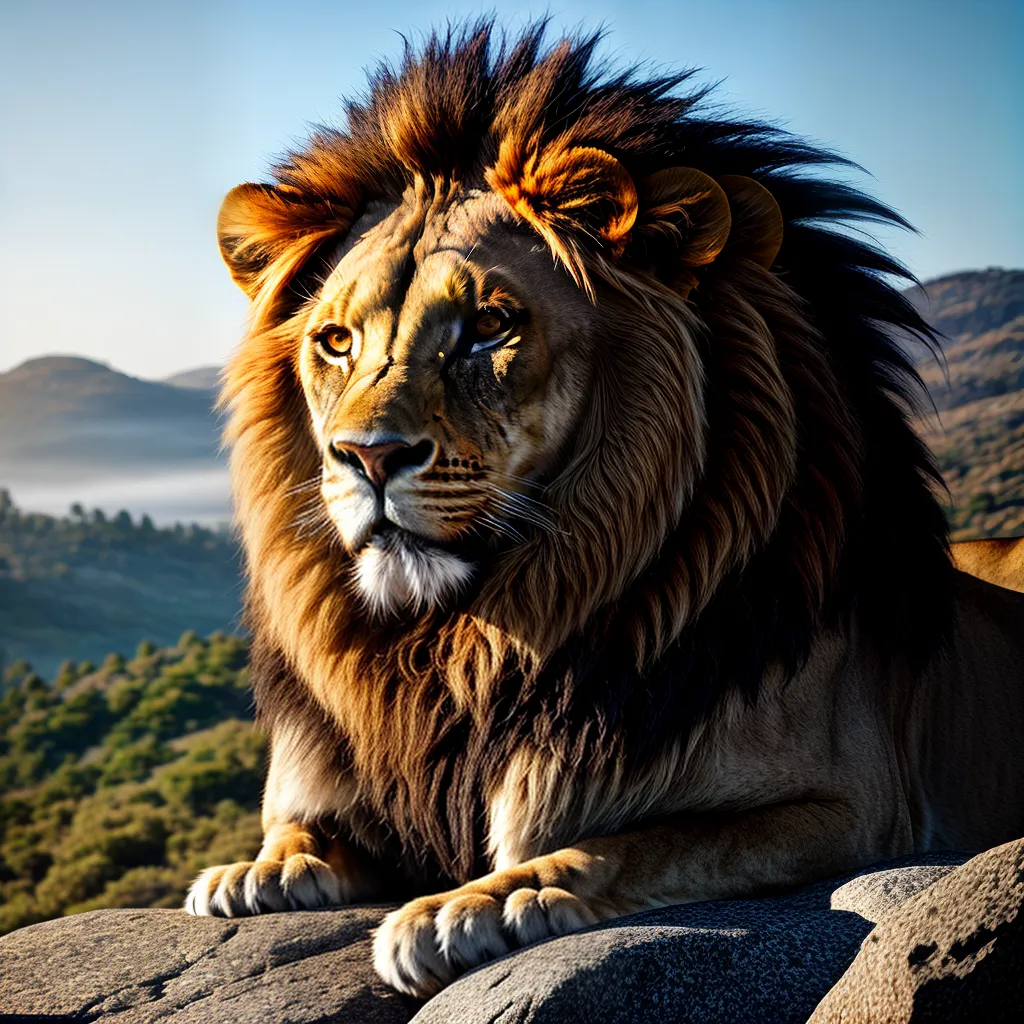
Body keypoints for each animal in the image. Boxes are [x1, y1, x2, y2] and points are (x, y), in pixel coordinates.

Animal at [185, 25, 1024, 998]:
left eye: (489, 327)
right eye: (335, 341)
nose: (367, 457)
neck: (457, 649)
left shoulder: (850, 805)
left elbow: (629, 842)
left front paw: (473, 906)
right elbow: (297, 828)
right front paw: (255, 872)